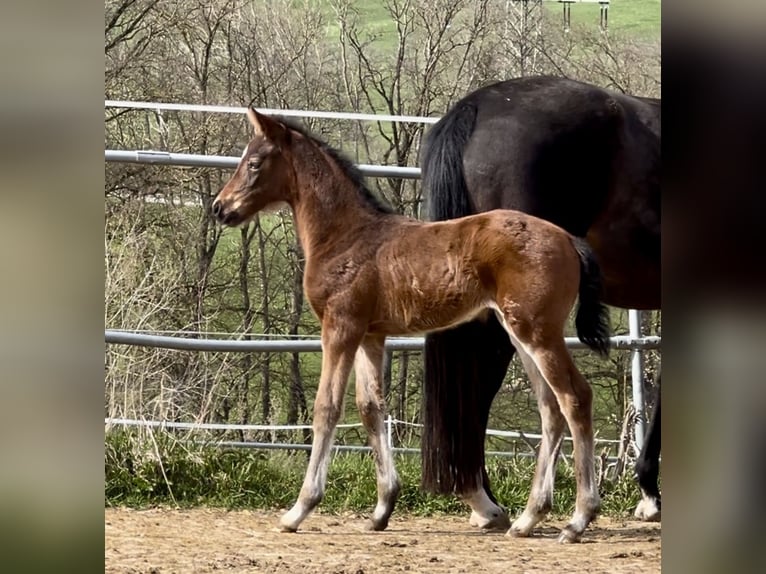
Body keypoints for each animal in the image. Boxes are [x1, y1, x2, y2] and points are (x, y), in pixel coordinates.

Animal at [212, 108, 612, 544]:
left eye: (254, 163)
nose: (219, 207)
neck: (345, 237)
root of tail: (569, 239)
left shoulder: (340, 328)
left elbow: (326, 408)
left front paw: (299, 509)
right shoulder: (371, 335)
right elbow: (370, 408)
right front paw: (382, 509)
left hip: (539, 332)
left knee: (574, 398)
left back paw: (578, 519)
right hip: (519, 332)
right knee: (549, 408)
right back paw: (528, 518)